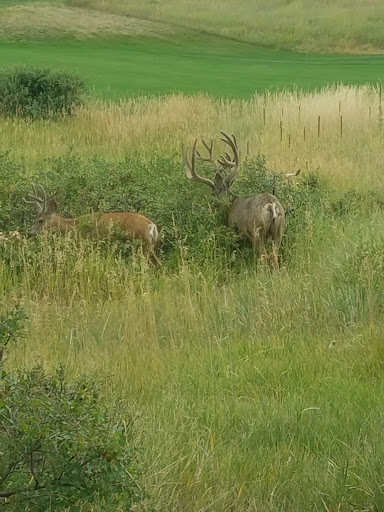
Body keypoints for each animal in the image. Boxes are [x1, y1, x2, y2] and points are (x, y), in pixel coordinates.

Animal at [23, 186, 162, 270]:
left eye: (40, 220)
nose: (30, 233)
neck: (71, 226)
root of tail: (151, 225)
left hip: (141, 245)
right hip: (149, 246)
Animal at [184, 132, 286, 268]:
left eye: (213, 192)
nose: (211, 204)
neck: (232, 204)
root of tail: (271, 204)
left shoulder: (234, 228)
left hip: (257, 231)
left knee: (265, 257)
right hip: (279, 230)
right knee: (274, 257)